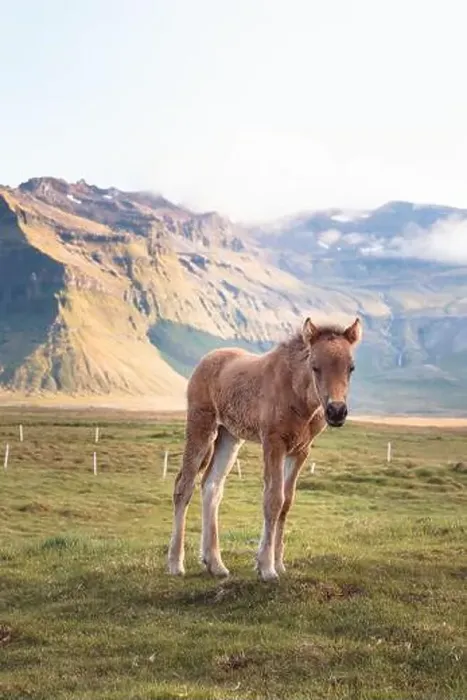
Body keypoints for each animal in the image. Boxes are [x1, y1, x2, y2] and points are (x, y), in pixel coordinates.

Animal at [168, 316, 362, 581]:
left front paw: (278, 563)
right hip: (202, 425)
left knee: (212, 486)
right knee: (184, 486)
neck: (297, 394)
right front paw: (267, 568)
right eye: (314, 366)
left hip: (229, 436)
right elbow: (273, 499)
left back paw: (215, 563)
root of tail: (206, 360)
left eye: (351, 368)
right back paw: (175, 564)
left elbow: (287, 502)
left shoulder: (301, 450)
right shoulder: (273, 443)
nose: (336, 412)